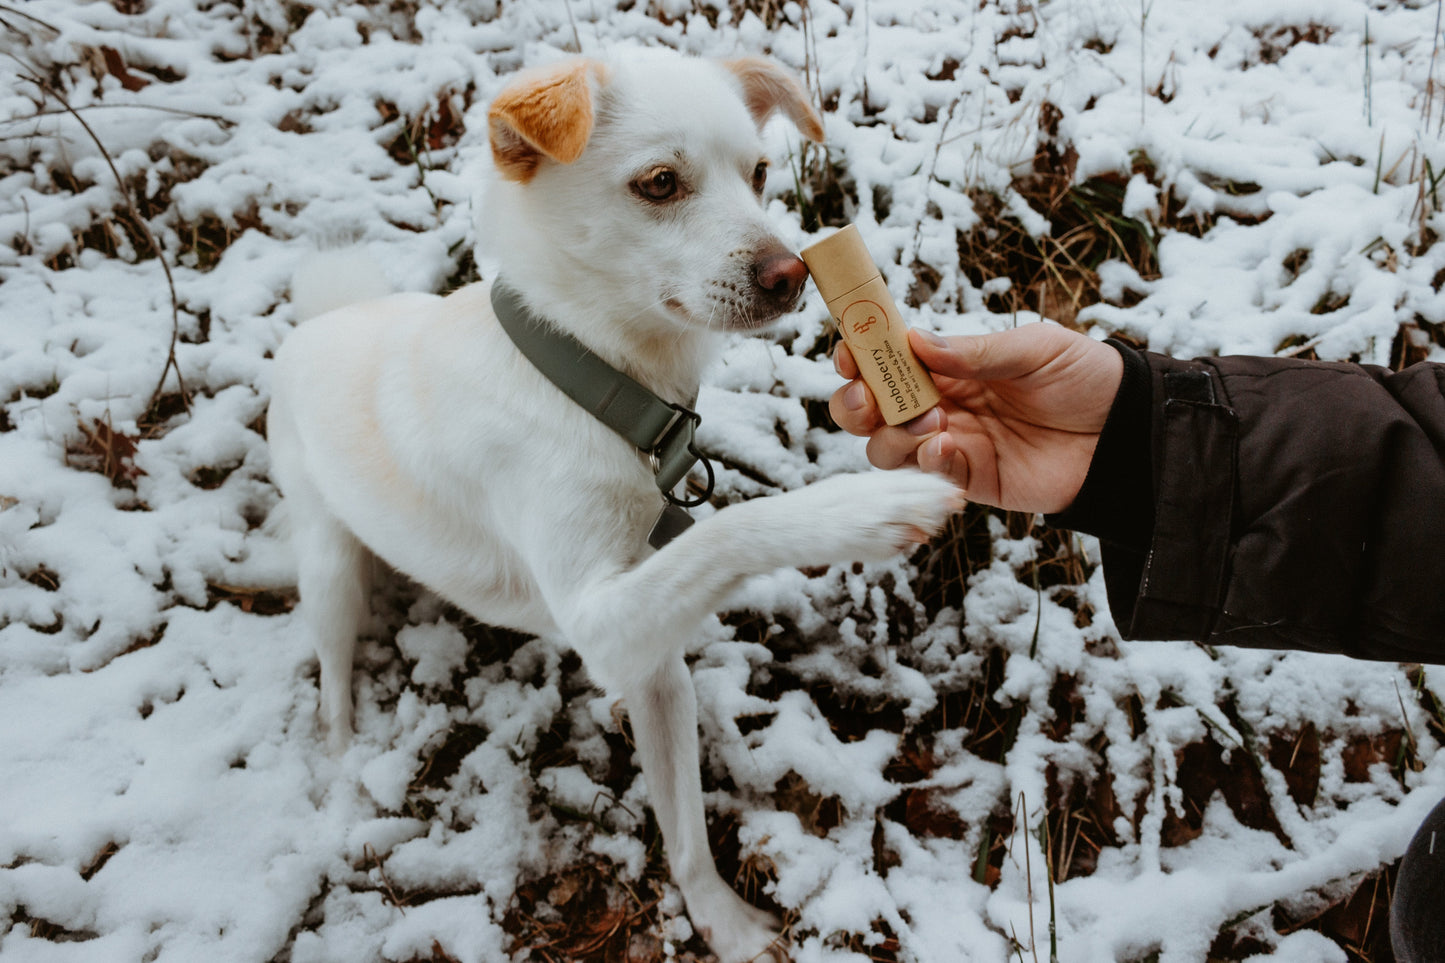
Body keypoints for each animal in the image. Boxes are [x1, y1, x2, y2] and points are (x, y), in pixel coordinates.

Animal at [273, 48, 959, 954]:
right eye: (660, 183)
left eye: (759, 173)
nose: (791, 276)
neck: (592, 380)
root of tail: (320, 319)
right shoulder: (598, 622)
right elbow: (730, 529)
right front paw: (864, 505)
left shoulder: (651, 659)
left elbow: (684, 824)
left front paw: (722, 923)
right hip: (325, 564)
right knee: (331, 670)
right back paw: (344, 755)